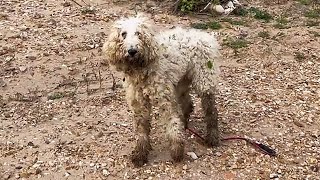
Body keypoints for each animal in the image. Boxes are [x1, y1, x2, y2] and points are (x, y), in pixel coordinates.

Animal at [104, 14, 221, 167]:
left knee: (211, 110)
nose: (132, 51)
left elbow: (172, 122)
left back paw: (212, 137)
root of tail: (205, 36)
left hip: (204, 79)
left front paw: (177, 150)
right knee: (188, 105)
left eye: (139, 33)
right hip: (180, 83)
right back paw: (185, 124)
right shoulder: (139, 103)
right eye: (123, 34)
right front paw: (140, 154)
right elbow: (141, 130)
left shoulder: (164, 98)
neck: (142, 68)